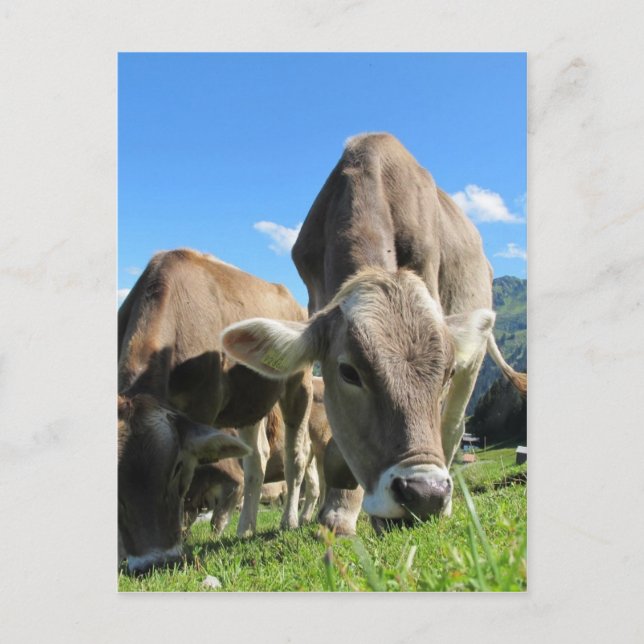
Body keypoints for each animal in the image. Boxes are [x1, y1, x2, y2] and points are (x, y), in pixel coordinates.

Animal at [118, 249, 312, 573]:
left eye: (176, 467)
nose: (152, 561)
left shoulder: (201, 411)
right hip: (250, 402)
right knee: (256, 460)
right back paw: (245, 527)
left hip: (300, 383)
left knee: (295, 455)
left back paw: (290, 520)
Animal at [222, 133, 527, 535]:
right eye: (349, 372)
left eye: (444, 373)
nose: (426, 494)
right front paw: (339, 511)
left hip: (473, 361)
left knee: (454, 425)